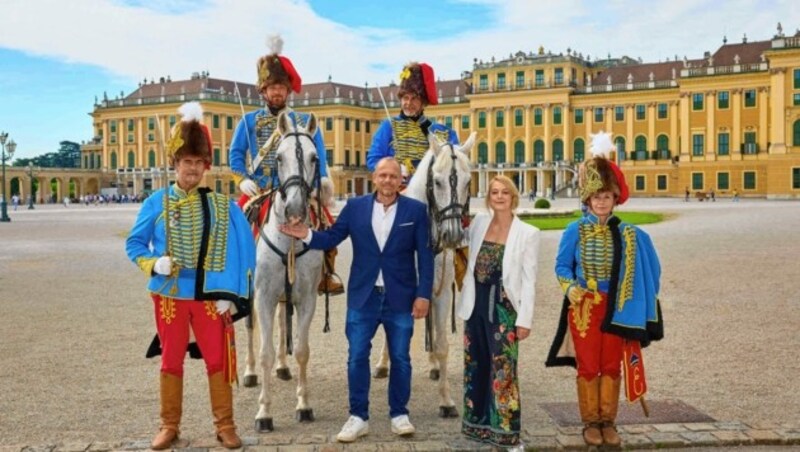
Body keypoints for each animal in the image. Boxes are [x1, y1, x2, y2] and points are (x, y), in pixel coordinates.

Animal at [241, 109, 324, 430]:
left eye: (315, 157)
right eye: (278, 157)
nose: (296, 211)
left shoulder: (306, 298)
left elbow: (301, 349)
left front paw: (304, 405)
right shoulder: (262, 295)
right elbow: (263, 350)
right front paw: (264, 412)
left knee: (281, 323)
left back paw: (283, 367)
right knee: (250, 328)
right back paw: (250, 372)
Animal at [374, 130, 478, 416]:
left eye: (468, 181)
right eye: (438, 181)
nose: (452, 234)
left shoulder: (440, 293)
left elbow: (442, 344)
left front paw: (446, 400)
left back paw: (432, 366)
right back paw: (382, 364)